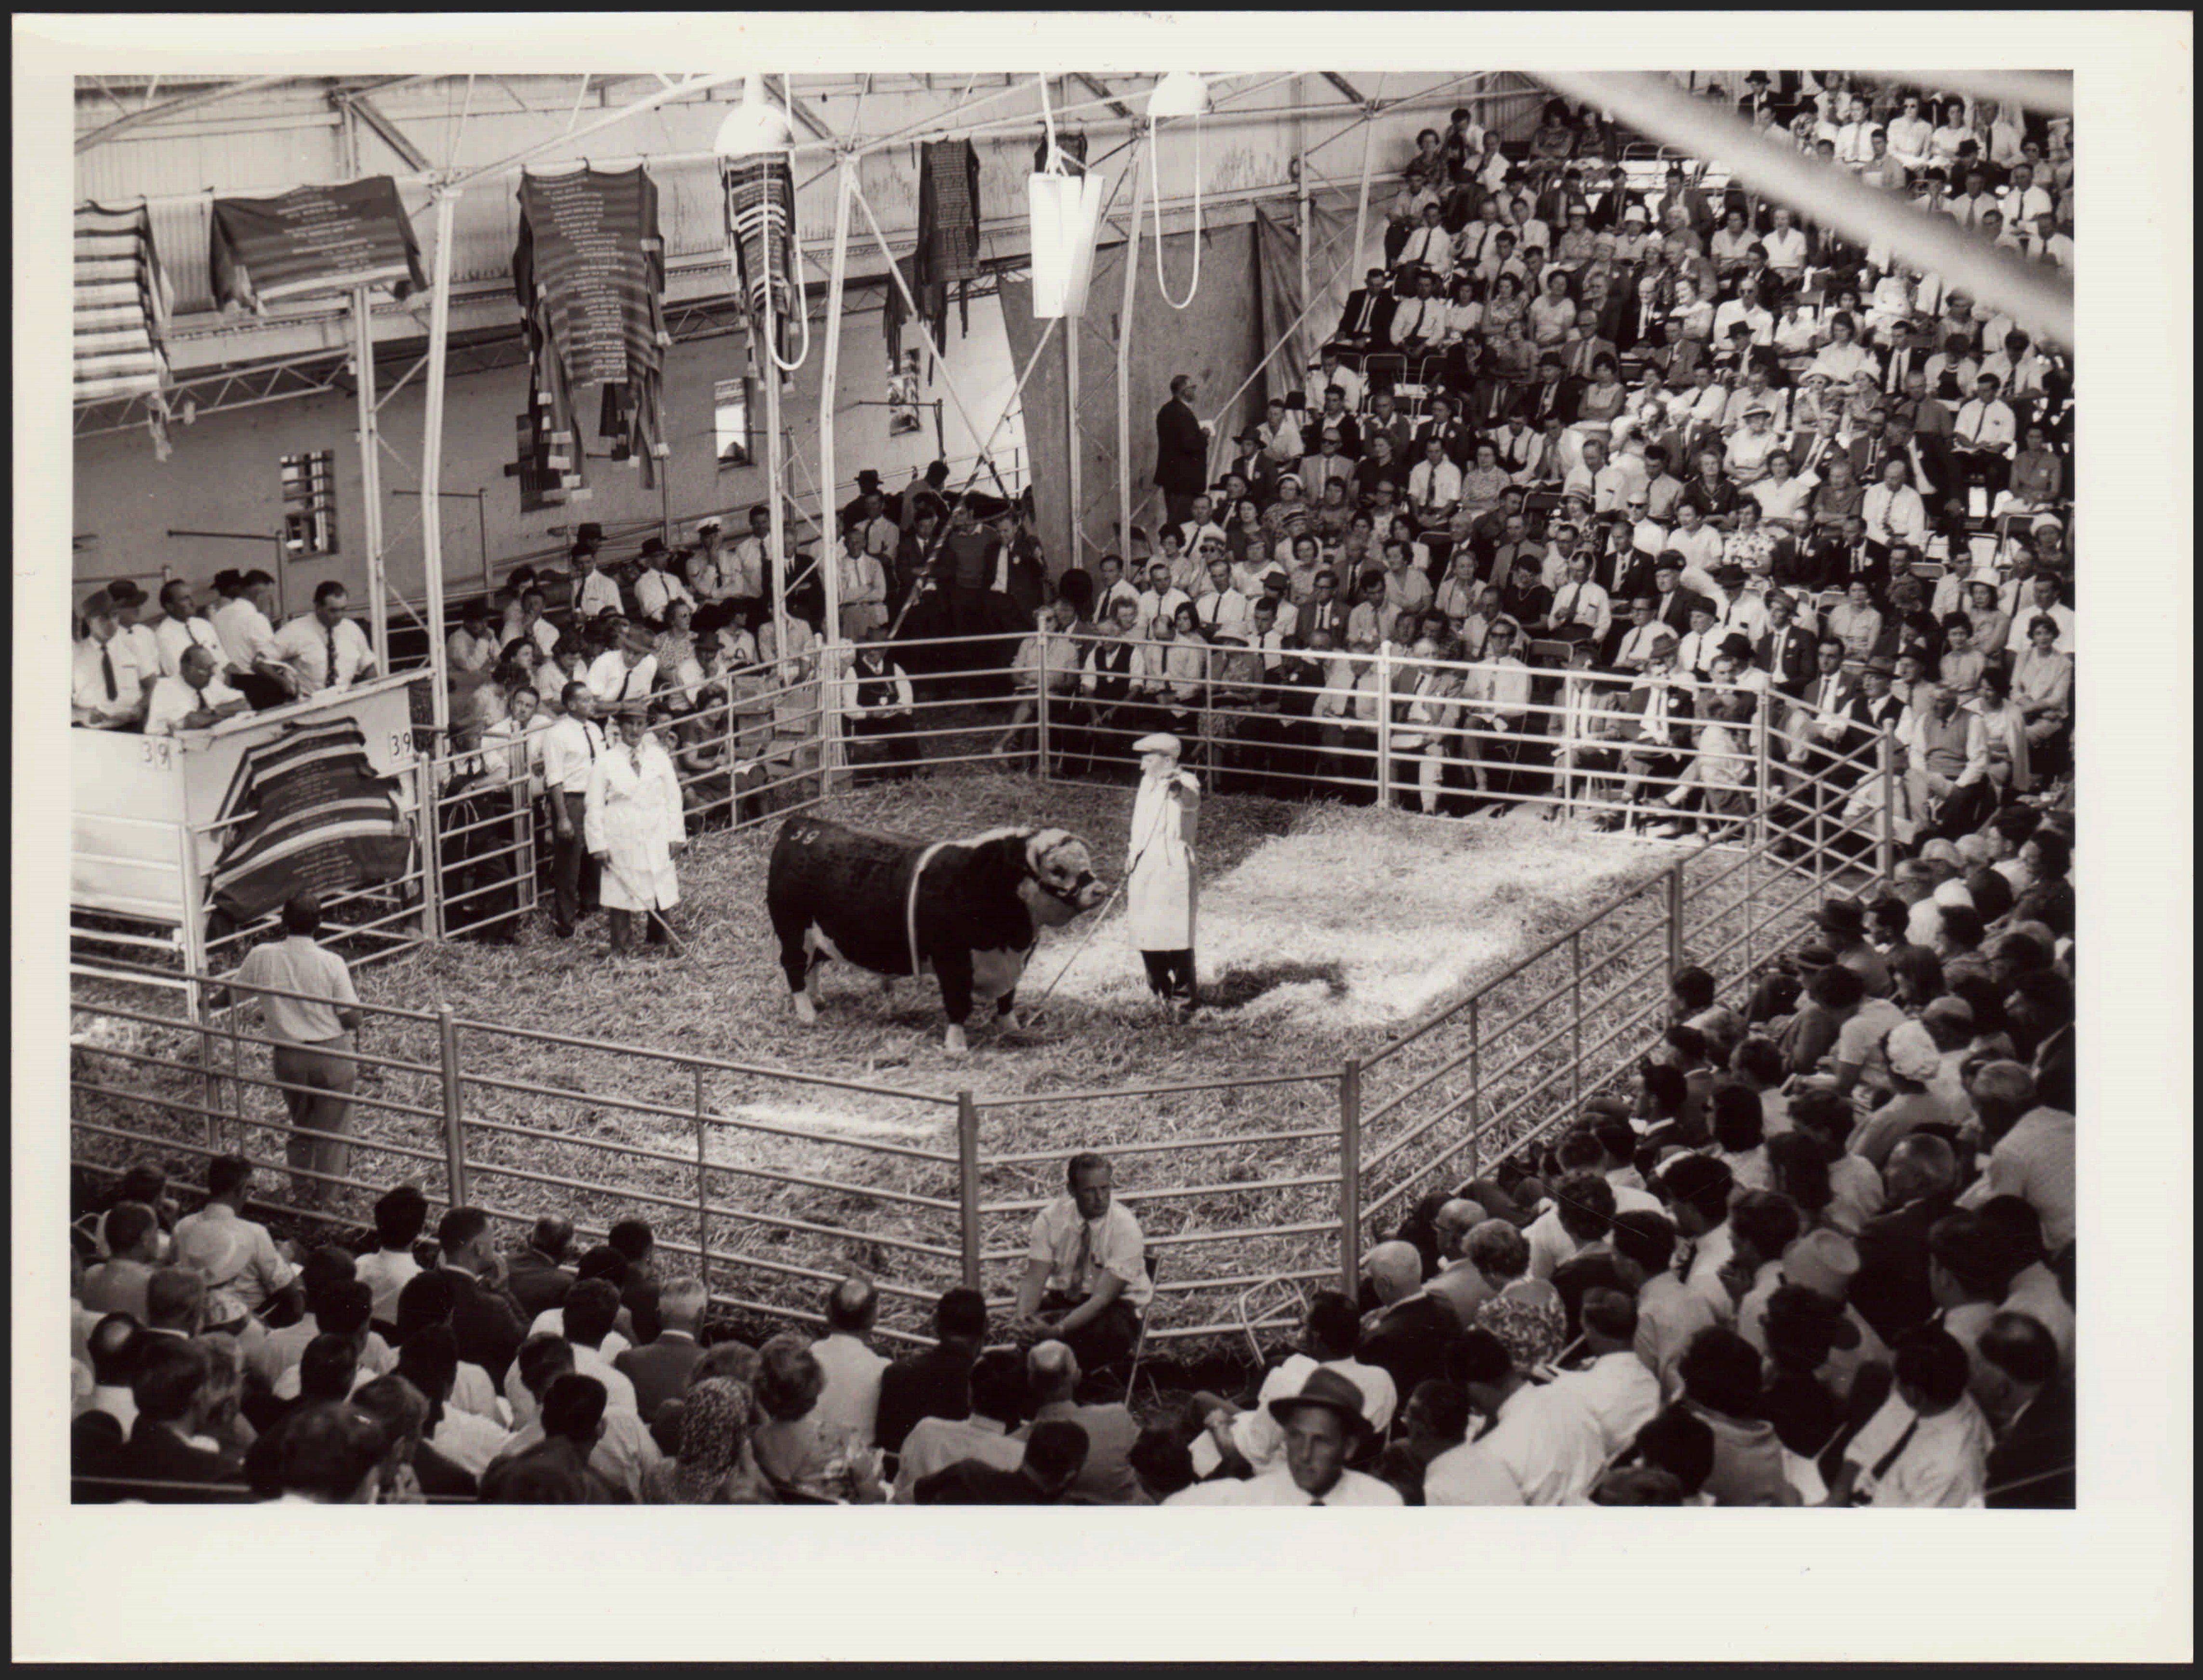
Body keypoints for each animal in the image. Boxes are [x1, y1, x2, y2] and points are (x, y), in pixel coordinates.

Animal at [766, 816, 1110, 1054]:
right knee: (794, 968)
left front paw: (1011, 1027)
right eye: (1058, 870)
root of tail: (802, 824)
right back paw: (807, 1013)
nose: (1099, 890)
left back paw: (817, 998)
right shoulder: (953, 962)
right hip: (791, 930)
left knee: (814, 965)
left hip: (819, 936)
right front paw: (956, 1047)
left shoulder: (1015, 961)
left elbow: (1007, 998)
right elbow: (958, 1005)